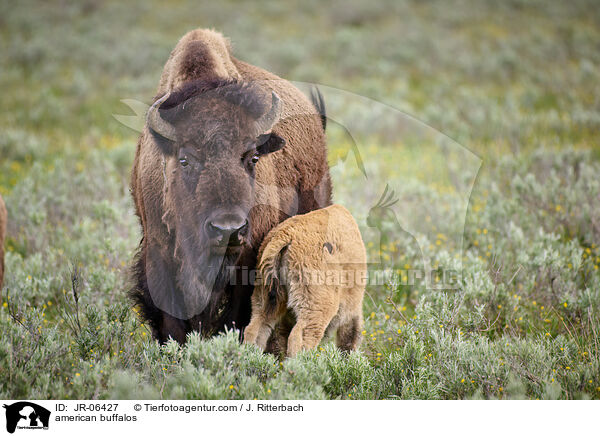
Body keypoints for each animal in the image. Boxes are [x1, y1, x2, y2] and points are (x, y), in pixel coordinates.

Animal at [129, 29, 332, 344]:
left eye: (253, 157)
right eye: (185, 160)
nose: (228, 229)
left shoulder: (249, 261)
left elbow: (239, 318)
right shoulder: (160, 257)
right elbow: (172, 324)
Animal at [244, 204, 366, 358]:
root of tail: (285, 236)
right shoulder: (352, 309)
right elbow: (350, 338)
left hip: (265, 296)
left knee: (256, 328)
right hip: (315, 308)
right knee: (301, 337)